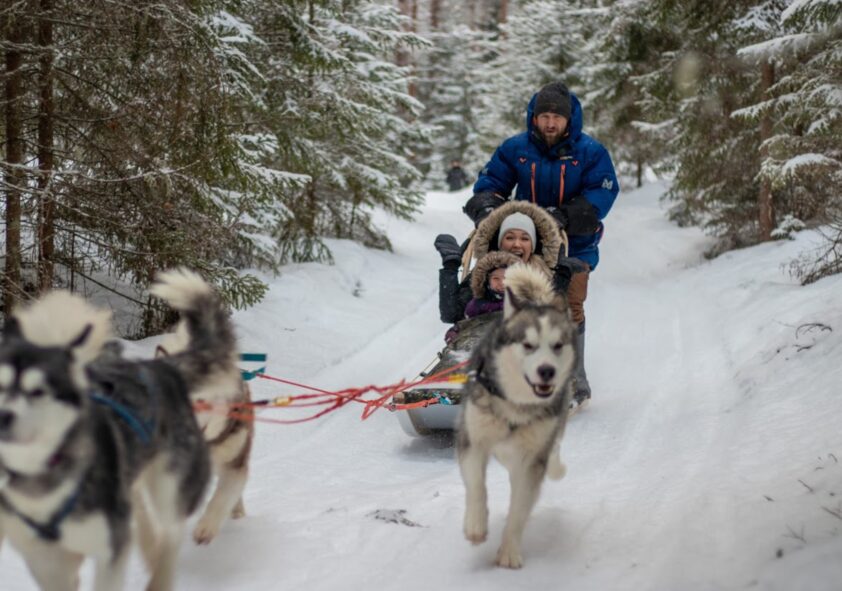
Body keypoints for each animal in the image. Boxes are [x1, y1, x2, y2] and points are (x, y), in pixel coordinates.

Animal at [0, 268, 237, 591]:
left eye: (38, 391)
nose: (3, 416)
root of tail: (162, 368)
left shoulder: (110, 547)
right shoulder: (47, 562)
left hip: (170, 488)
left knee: (171, 533)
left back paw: (160, 575)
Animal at [456, 263, 578, 569]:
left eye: (557, 345)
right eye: (527, 344)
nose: (547, 371)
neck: (515, 405)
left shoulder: (530, 461)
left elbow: (519, 511)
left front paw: (509, 550)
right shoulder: (473, 440)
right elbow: (476, 486)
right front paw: (476, 525)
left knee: (553, 450)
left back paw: (556, 468)